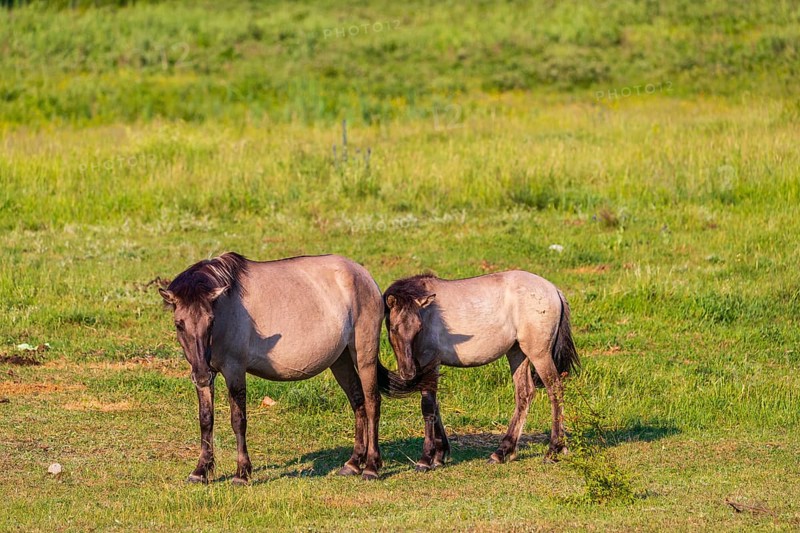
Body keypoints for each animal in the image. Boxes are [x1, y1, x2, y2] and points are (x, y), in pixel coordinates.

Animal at [159, 252, 391, 483]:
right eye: (179, 324)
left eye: (211, 322)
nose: (201, 376)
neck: (226, 307)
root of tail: (364, 275)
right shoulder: (207, 372)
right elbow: (206, 419)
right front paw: (200, 471)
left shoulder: (235, 370)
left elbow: (238, 420)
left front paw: (242, 473)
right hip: (341, 360)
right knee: (358, 401)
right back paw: (353, 463)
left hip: (364, 354)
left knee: (372, 403)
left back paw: (371, 466)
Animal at [382, 271, 580, 471]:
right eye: (394, 328)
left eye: (419, 328)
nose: (408, 373)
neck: (428, 313)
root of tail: (553, 290)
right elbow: (435, 404)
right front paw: (440, 454)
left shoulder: (430, 362)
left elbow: (428, 406)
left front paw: (426, 459)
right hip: (517, 352)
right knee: (525, 394)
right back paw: (502, 452)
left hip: (539, 354)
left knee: (555, 390)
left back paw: (554, 449)